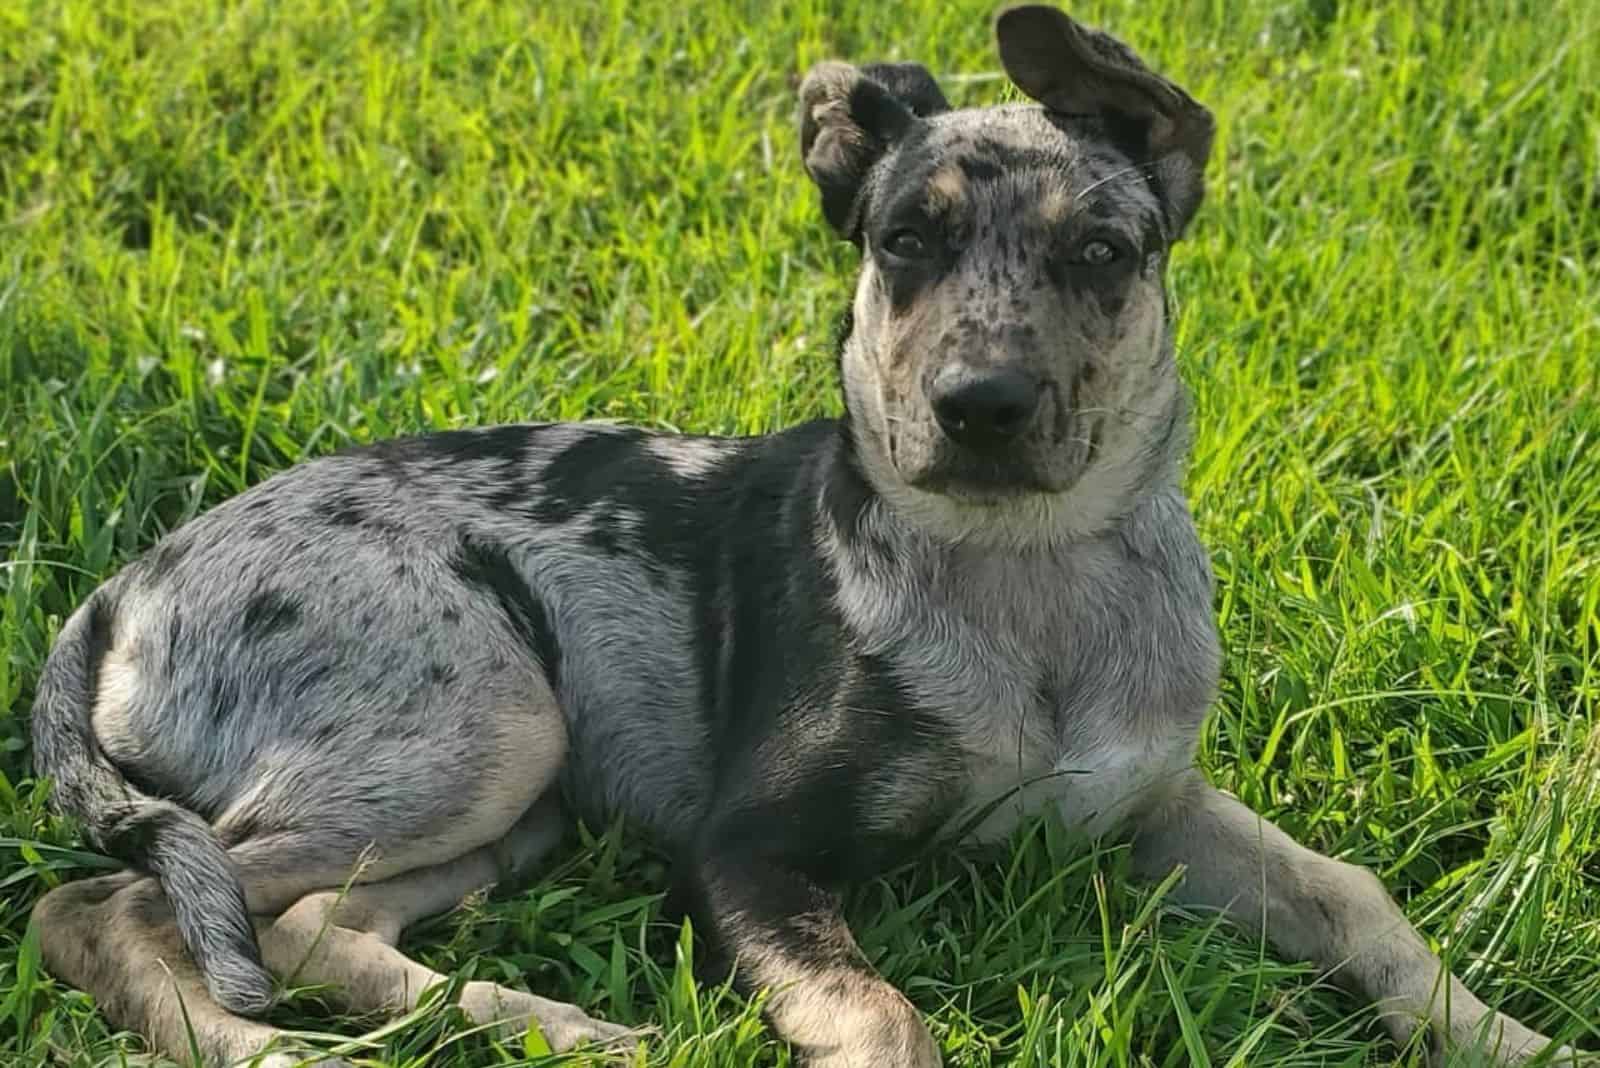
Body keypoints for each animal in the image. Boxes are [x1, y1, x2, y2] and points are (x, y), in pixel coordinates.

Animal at [31, 8, 1580, 1068]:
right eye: (904, 243)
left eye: (1101, 254)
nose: (980, 405)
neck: (1031, 577)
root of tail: (123, 590)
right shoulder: (751, 852)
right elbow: (882, 1017)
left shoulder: (1151, 809)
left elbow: (1356, 897)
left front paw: (1510, 1036)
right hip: (481, 720)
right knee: (113, 907)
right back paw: (274, 1049)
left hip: (510, 801)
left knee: (298, 922)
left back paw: (556, 1027)